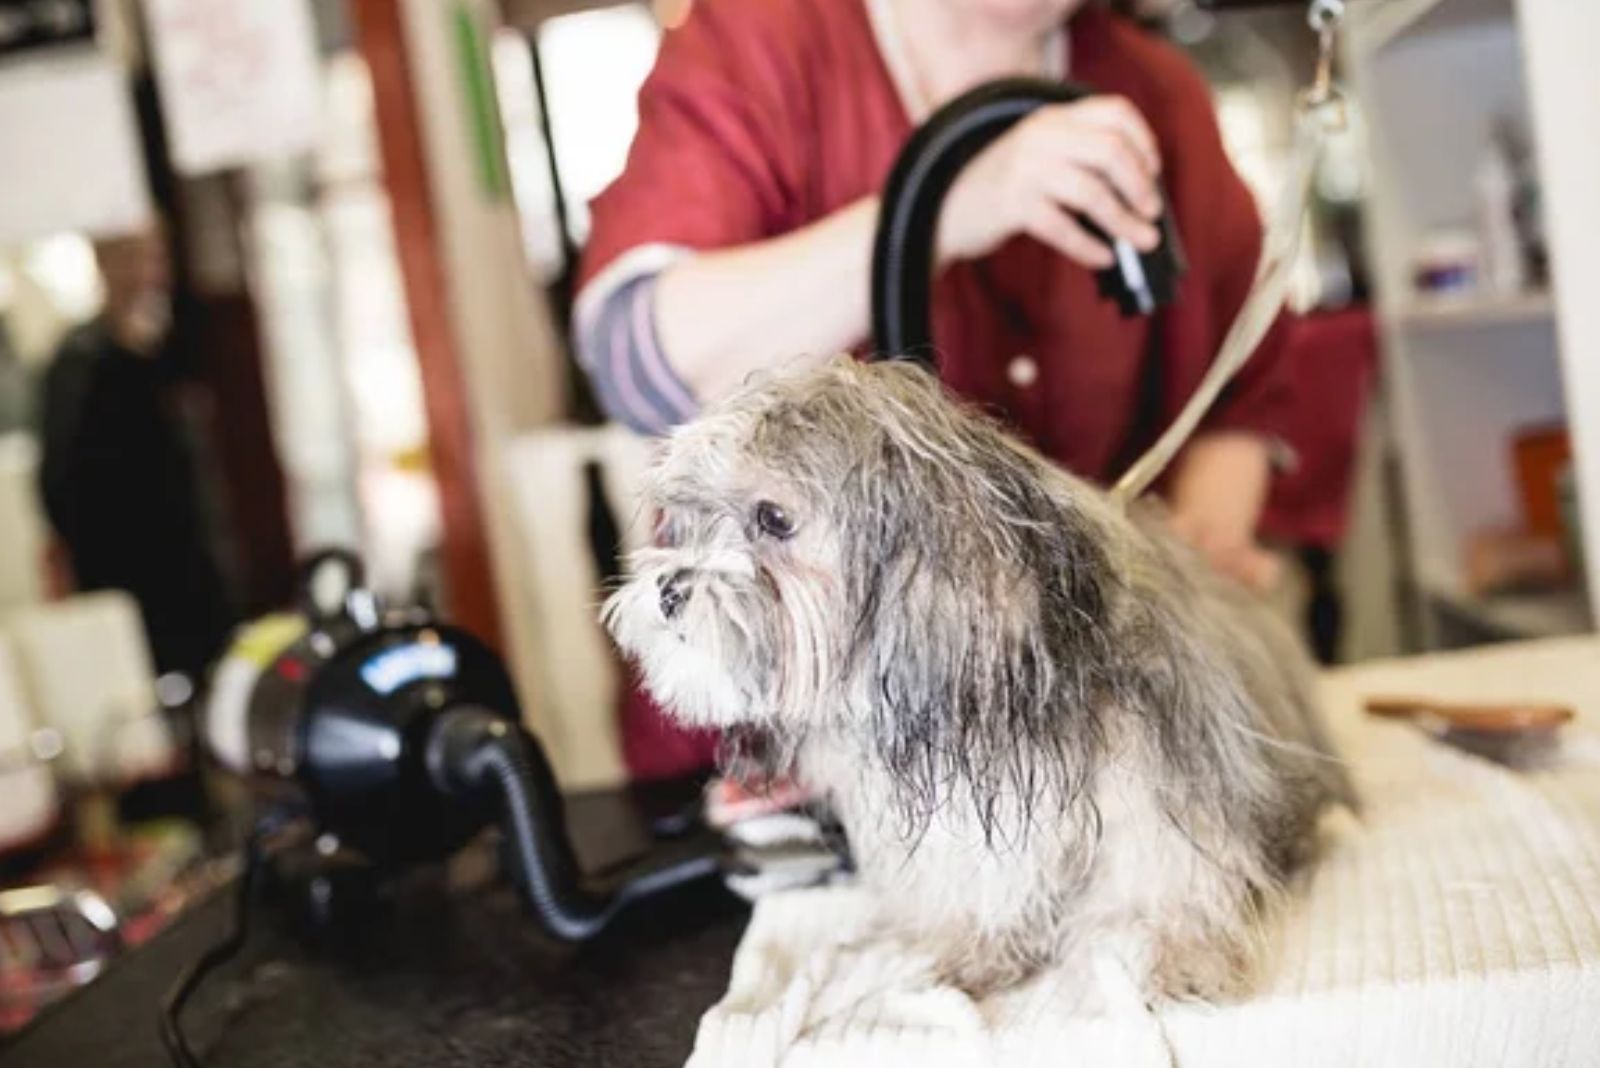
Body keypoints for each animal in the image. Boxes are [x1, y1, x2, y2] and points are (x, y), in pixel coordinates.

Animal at [601, 358, 1350, 1004]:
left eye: (774, 518)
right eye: (690, 521)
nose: (667, 588)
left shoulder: (1165, 786)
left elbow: (1165, 875)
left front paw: (1175, 952)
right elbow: (983, 886)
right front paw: (975, 947)